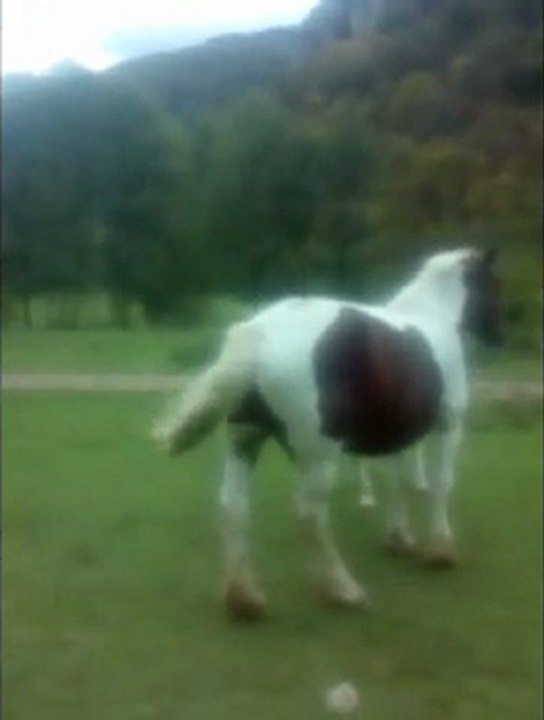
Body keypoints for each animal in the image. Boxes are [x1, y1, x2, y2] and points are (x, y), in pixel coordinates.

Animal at [153, 248, 501, 620]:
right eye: (494, 282)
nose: (499, 334)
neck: (432, 315)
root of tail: (260, 333)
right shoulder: (448, 425)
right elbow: (439, 483)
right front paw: (440, 550)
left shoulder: (399, 434)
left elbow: (400, 482)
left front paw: (398, 538)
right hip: (317, 459)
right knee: (310, 516)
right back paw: (342, 589)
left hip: (245, 441)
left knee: (232, 505)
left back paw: (244, 599)